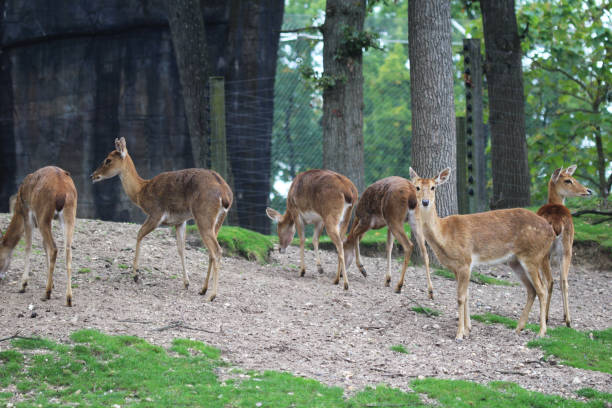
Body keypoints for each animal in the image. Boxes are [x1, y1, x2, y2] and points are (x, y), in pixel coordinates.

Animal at [0, 167, 77, 306]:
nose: (0, 277)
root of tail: (62, 191)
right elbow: (44, 246)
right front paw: (52, 283)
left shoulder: (27, 215)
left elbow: (28, 246)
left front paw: (23, 285)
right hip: (69, 215)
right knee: (67, 250)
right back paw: (68, 298)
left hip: (43, 217)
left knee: (54, 248)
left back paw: (47, 293)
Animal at [91, 137, 232, 300]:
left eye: (108, 160)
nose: (93, 176)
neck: (141, 192)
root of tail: (225, 196)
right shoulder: (180, 221)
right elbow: (181, 249)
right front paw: (186, 283)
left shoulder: (156, 214)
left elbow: (139, 234)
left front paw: (135, 276)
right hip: (218, 220)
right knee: (211, 252)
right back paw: (203, 289)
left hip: (204, 217)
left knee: (217, 250)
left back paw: (212, 295)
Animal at [412, 167, 556, 342]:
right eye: (417, 187)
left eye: (433, 187)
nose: (425, 202)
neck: (445, 235)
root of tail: (551, 231)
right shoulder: (456, 267)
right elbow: (466, 295)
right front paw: (467, 330)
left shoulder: (465, 261)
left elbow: (460, 297)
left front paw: (459, 334)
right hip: (515, 261)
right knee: (531, 289)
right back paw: (518, 328)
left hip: (532, 256)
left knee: (541, 289)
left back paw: (541, 332)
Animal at [536, 164, 592, 326]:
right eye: (568, 180)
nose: (588, 191)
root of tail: (557, 223)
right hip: (568, 249)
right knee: (564, 281)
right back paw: (568, 320)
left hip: (545, 252)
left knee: (549, 281)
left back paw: (545, 317)